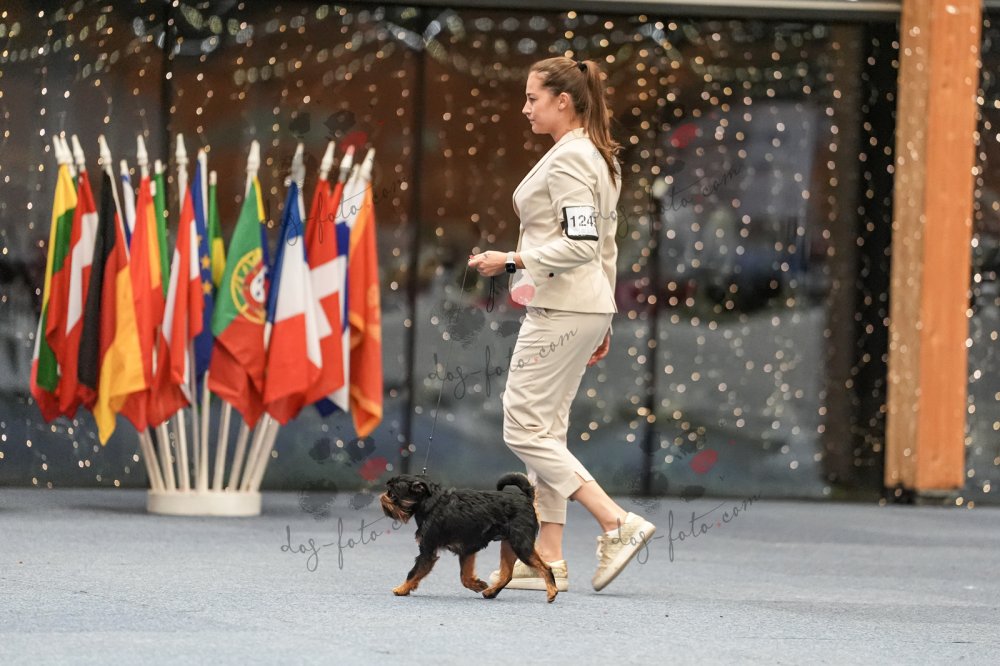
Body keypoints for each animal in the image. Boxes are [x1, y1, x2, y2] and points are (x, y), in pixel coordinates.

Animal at [380, 472, 558, 602]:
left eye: (392, 494)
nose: (382, 496)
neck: (430, 503)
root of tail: (526, 497)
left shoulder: (427, 551)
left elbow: (414, 572)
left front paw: (402, 589)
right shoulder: (466, 550)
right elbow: (464, 577)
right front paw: (477, 585)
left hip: (521, 545)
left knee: (545, 568)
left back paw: (552, 591)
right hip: (509, 546)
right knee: (507, 574)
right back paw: (491, 592)